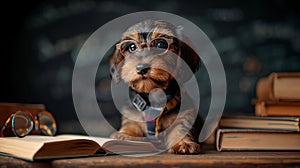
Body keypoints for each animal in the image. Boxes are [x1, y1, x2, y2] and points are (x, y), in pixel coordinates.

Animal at [109, 19, 203, 154]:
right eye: (132, 47)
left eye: (160, 44)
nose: (141, 68)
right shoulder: (132, 115)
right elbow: (132, 124)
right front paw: (124, 135)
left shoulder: (185, 114)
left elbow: (181, 127)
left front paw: (183, 143)